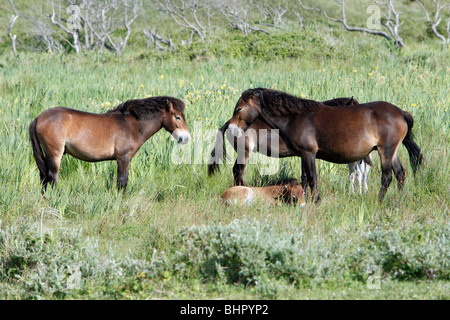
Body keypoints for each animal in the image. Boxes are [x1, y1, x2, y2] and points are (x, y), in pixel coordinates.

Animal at [28, 95, 190, 192]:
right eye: (177, 117)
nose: (186, 138)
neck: (132, 124)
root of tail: (38, 118)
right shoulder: (123, 158)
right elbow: (122, 182)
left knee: (44, 177)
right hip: (55, 154)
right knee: (52, 177)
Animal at [229, 89, 422, 201]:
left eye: (239, 108)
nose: (231, 128)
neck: (296, 117)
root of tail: (401, 113)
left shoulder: (308, 153)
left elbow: (312, 178)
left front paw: (316, 201)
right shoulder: (303, 154)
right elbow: (305, 178)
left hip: (385, 151)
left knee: (387, 176)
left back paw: (379, 201)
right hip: (392, 152)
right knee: (400, 174)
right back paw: (398, 199)